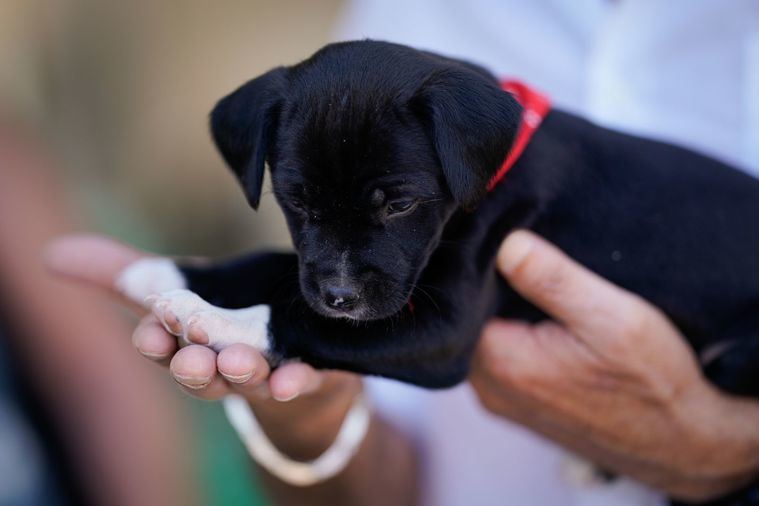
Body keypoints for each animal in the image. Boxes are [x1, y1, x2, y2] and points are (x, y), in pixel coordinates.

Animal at [119, 40, 759, 396]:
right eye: (297, 202)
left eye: (400, 204)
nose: (341, 296)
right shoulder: (323, 268)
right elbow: (275, 266)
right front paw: (165, 273)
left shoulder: (442, 330)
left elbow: (298, 318)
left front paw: (209, 318)